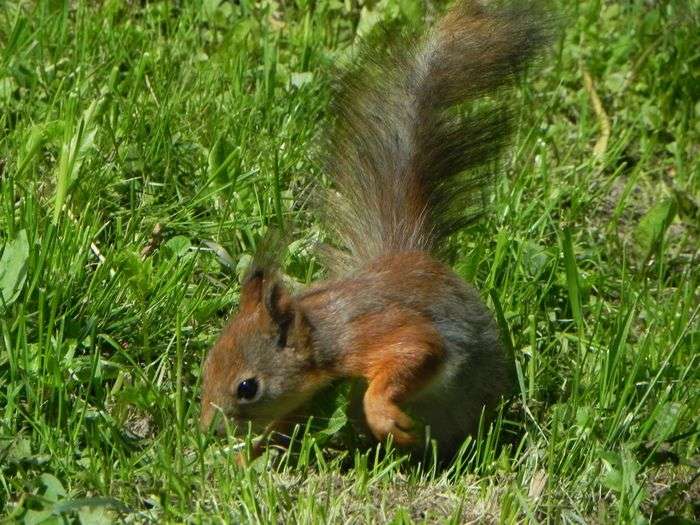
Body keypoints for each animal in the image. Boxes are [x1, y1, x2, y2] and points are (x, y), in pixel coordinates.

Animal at [200, 1, 544, 458]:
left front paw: (382, 412)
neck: (322, 335)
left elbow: (417, 349)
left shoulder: (370, 331)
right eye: (206, 367)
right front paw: (244, 459)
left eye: (247, 387)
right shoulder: (310, 395)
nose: (207, 431)